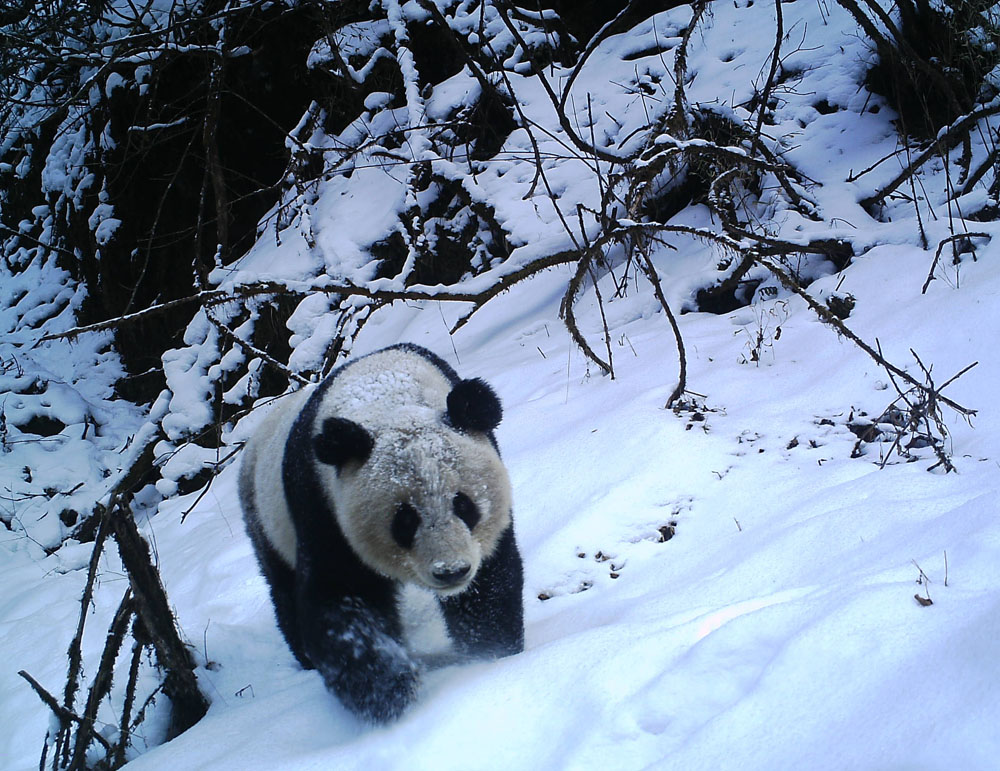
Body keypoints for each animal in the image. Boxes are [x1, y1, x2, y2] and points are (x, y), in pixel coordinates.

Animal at [238, 343, 524, 723]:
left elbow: (489, 581)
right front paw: (388, 689)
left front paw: (487, 652)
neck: (385, 392)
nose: (451, 572)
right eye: (405, 520)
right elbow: (340, 598)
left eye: (464, 505)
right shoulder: (321, 505)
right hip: (264, 519)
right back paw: (306, 659)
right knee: (281, 588)